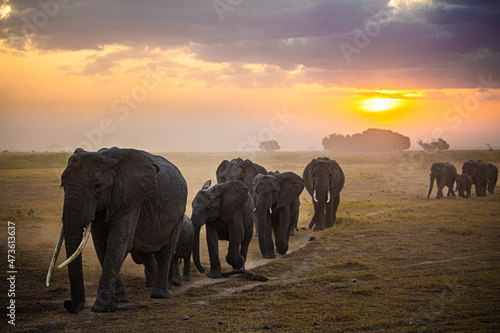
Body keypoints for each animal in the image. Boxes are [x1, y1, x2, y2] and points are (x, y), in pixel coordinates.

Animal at [46, 147, 188, 312]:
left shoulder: (130, 197)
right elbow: (101, 245)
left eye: (97, 185)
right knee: (145, 254)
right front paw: (119, 300)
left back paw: (158, 295)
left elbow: (118, 242)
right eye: (62, 184)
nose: (68, 304)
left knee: (166, 251)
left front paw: (102, 307)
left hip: (179, 214)